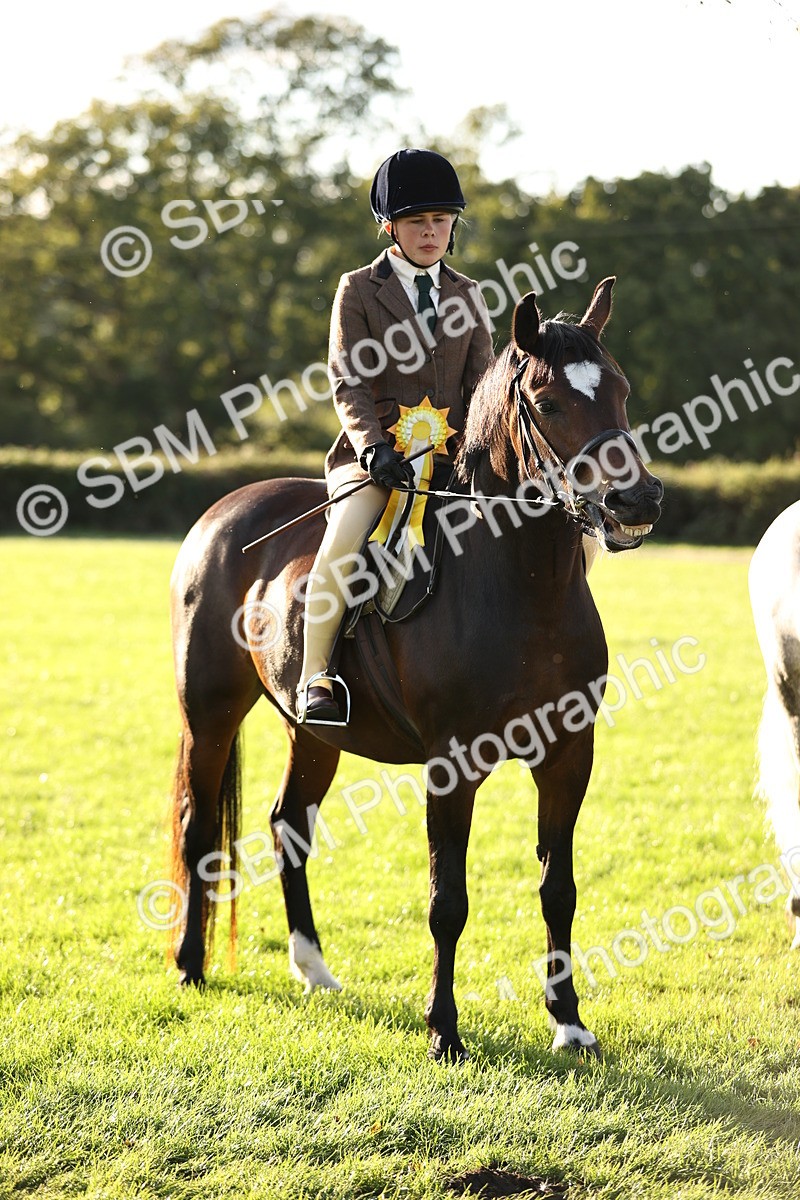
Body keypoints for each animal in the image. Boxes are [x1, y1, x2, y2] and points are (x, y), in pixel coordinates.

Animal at [168, 276, 664, 1061]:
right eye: (548, 402)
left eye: (620, 390)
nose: (636, 501)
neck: (525, 587)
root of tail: (226, 509)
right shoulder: (452, 764)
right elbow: (446, 901)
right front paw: (444, 1032)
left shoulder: (568, 755)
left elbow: (559, 889)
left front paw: (569, 1023)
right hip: (209, 710)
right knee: (199, 827)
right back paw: (190, 966)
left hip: (315, 732)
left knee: (288, 824)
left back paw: (313, 969)